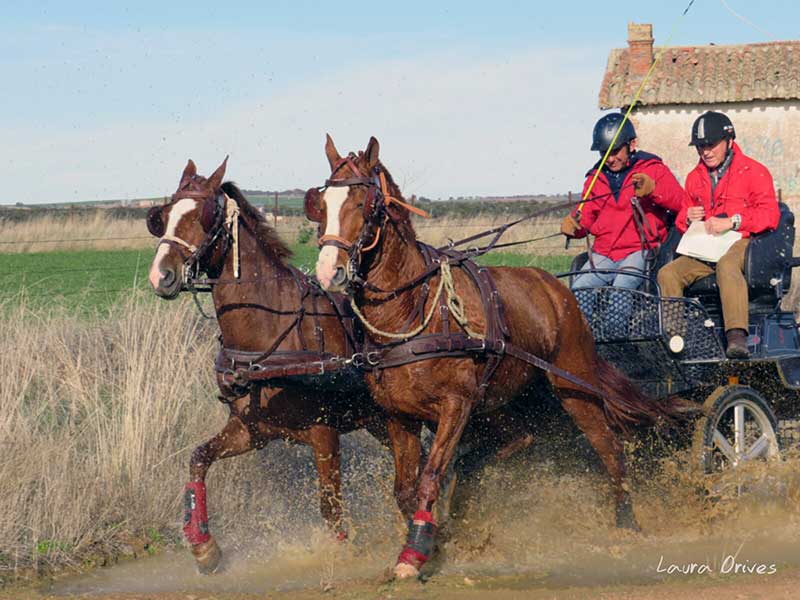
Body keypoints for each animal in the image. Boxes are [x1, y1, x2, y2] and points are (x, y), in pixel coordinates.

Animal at [147, 158, 384, 572]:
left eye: (204, 215)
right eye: (165, 215)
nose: (161, 274)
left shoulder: (324, 433)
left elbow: (330, 506)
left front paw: (339, 553)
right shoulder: (250, 430)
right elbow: (198, 459)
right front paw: (204, 546)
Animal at [310, 136, 680, 576]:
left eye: (363, 203)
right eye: (321, 203)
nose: (328, 271)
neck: (414, 310)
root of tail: (557, 289)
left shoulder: (455, 405)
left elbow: (430, 477)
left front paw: (414, 554)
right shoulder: (399, 416)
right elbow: (404, 490)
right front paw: (434, 538)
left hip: (573, 384)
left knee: (609, 447)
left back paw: (626, 521)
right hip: (503, 403)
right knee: (518, 439)